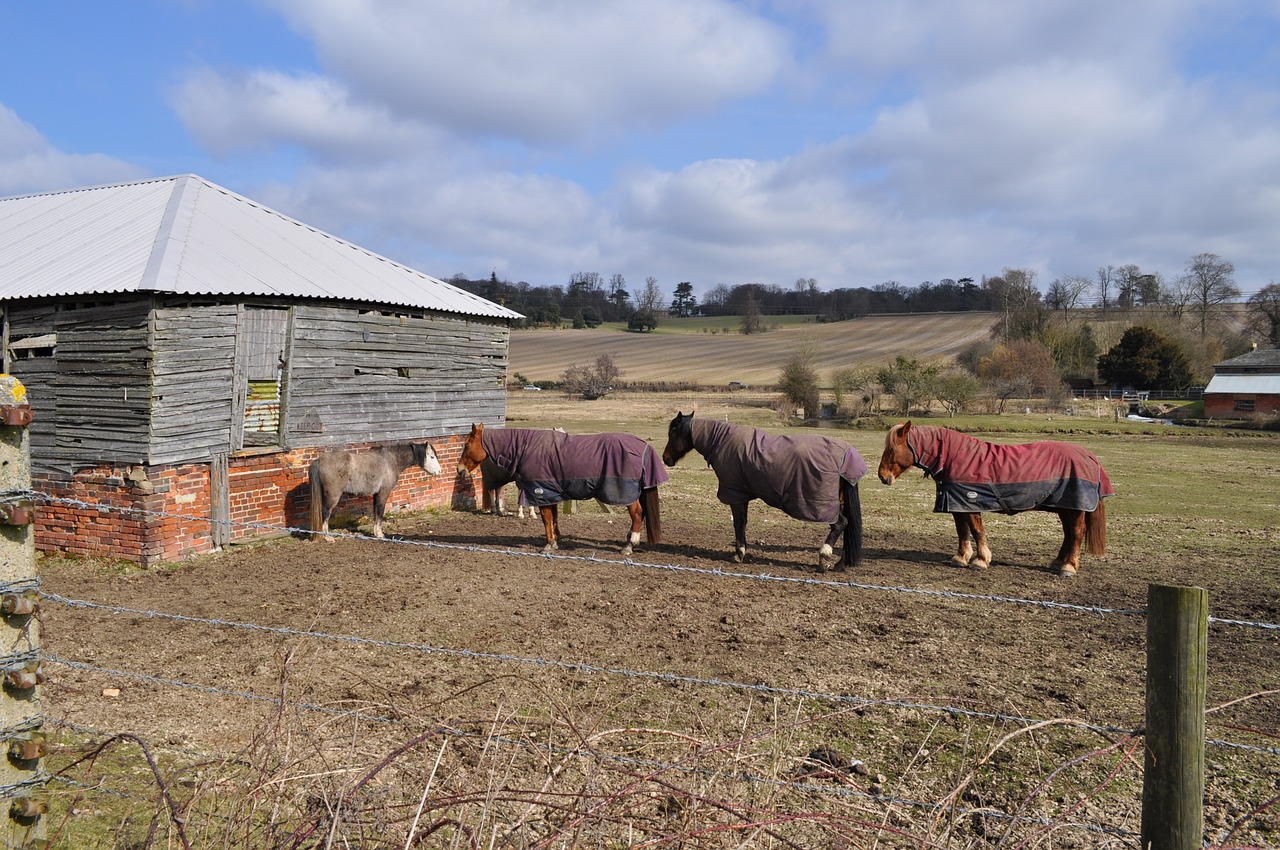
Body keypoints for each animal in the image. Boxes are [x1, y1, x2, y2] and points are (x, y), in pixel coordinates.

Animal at [307, 440, 442, 540]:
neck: (389, 460)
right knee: (325, 512)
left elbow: (375, 511)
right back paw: (327, 537)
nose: (439, 471)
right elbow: (380, 511)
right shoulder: (383, 492)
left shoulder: (376, 494)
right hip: (333, 496)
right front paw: (380, 534)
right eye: (431, 456)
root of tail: (319, 460)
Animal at [460, 422, 665, 555]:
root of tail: (643, 446)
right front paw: (556, 540)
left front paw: (549, 544)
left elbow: (546, 519)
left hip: (627, 494)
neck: (527, 448)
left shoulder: (540, 492)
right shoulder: (551, 493)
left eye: (467, 445)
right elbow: (554, 517)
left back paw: (630, 545)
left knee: (637, 514)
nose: (459, 469)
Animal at [660, 412, 870, 570]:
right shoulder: (742, 495)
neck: (721, 441)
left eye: (672, 433)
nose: (665, 458)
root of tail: (845, 455)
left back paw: (824, 556)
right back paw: (840, 563)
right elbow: (743, 523)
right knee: (847, 527)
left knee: (840, 524)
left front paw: (739, 554)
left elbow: (738, 524)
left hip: (826, 506)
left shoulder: (735, 495)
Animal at [880, 419, 1111, 578]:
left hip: (1074, 509)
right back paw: (1058, 562)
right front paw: (961, 557)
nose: (882, 476)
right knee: (1068, 534)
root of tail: (1088, 456)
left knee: (1077, 533)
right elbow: (962, 531)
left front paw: (981, 560)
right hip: (1064, 508)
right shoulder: (958, 505)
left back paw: (1069, 567)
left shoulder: (971, 504)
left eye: (891, 448)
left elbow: (976, 531)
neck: (957, 458)